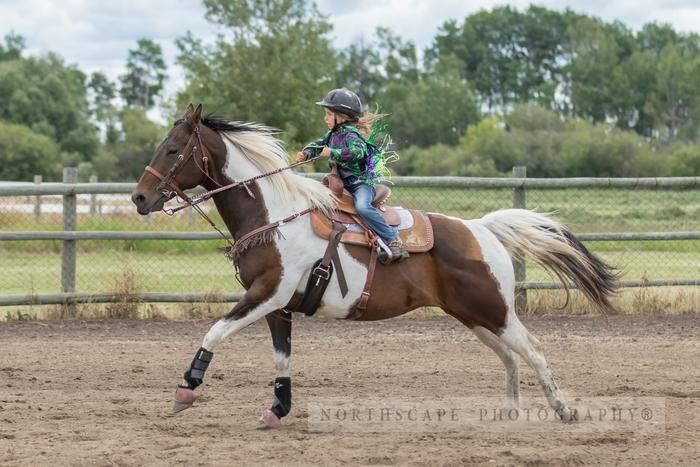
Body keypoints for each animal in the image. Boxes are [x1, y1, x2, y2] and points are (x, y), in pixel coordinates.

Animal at [130, 105, 612, 428]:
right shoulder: (278, 307)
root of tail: (480, 228)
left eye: (172, 149)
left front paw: (185, 390)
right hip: (473, 316)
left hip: (495, 311)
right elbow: (282, 357)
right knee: (510, 356)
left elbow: (214, 331)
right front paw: (278, 409)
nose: (138, 197)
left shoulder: (267, 293)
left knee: (532, 349)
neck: (273, 216)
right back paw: (509, 411)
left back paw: (563, 410)